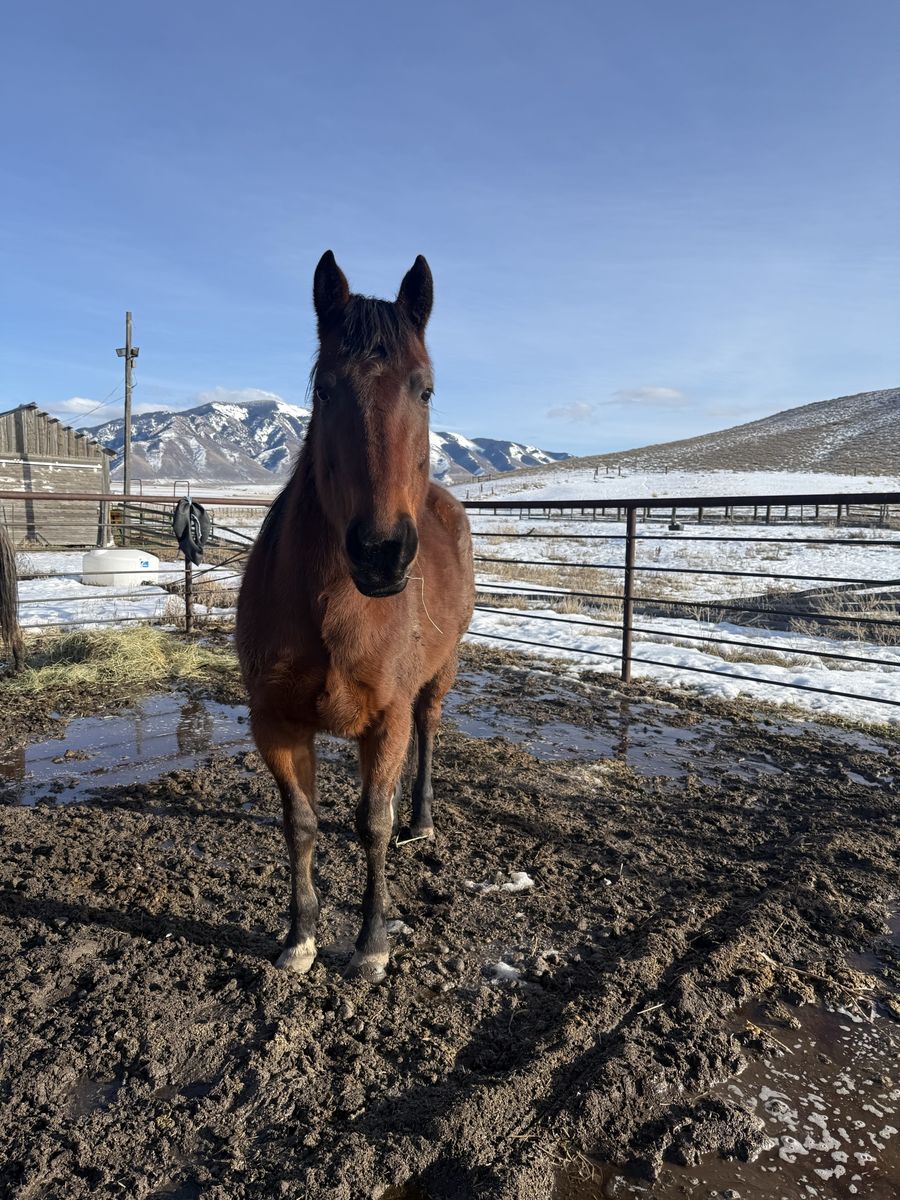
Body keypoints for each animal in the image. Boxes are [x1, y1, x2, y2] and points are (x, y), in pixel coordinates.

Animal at [237, 251, 475, 983]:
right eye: (324, 390)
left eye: (424, 390)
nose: (380, 552)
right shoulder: (275, 722)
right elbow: (302, 825)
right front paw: (300, 936)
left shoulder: (388, 717)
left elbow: (372, 824)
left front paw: (371, 942)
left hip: (438, 677)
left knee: (426, 737)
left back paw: (419, 820)